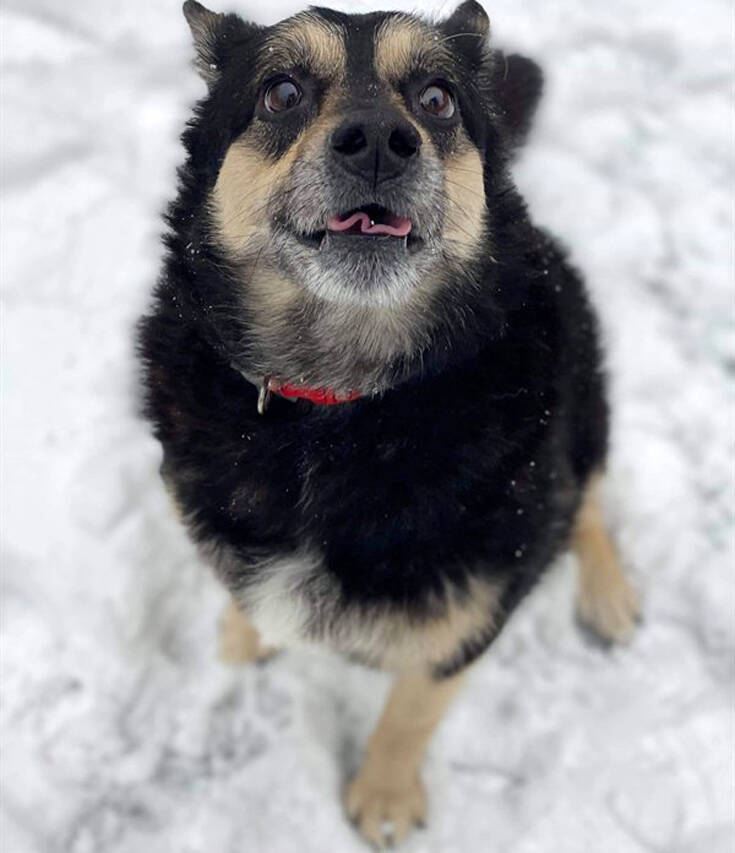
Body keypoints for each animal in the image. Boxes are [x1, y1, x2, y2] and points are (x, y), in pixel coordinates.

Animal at [137, 3, 640, 844]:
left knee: (588, 498)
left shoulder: (474, 606)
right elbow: (237, 587)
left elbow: (412, 708)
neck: (338, 402)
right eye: (280, 92)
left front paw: (383, 797)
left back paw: (606, 594)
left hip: (581, 395)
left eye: (437, 99)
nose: (377, 139)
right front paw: (244, 637)